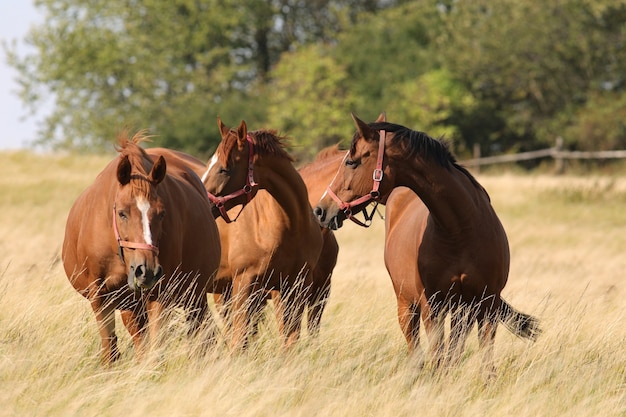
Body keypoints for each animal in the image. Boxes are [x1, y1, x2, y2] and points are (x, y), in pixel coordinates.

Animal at [61, 132, 222, 362]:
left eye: (162, 213)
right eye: (122, 213)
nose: (147, 271)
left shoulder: (161, 295)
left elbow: (156, 348)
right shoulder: (100, 297)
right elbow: (111, 350)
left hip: (194, 295)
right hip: (133, 306)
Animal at [197, 118, 322, 350]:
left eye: (224, 169)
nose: (201, 200)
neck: (290, 227)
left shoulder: (295, 286)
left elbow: (290, 340)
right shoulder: (244, 284)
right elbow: (240, 340)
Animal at [314, 113, 540, 374]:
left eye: (351, 162)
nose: (320, 210)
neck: (461, 230)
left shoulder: (486, 304)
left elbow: (482, 365)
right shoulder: (433, 307)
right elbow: (438, 359)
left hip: (462, 311)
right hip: (407, 305)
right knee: (417, 350)